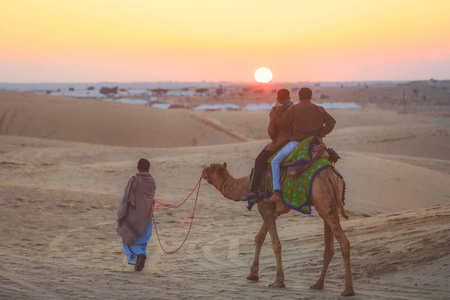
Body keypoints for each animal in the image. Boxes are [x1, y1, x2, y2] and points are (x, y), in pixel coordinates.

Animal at [201, 161, 356, 296]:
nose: (202, 171)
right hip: (327, 207)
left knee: (344, 242)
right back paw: (318, 284)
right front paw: (253, 274)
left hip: (323, 202)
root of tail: (332, 177)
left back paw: (347, 290)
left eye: (210, 167)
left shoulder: (264, 206)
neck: (246, 185)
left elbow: (276, 243)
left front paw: (278, 281)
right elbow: (259, 237)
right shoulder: (273, 211)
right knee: (329, 246)